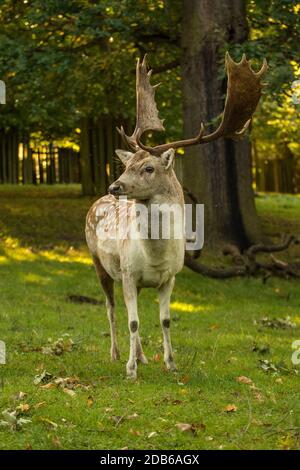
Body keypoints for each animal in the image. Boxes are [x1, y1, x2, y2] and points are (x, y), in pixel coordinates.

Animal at [85, 53, 266, 380]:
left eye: (148, 168)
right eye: (127, 165)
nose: (114, 185)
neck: (155, 255)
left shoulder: (169, 276)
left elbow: (165, 320)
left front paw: (170, 363)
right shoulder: (128, 272)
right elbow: (133, 321)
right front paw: (130, 370)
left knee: (129, 310)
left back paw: (142, 356)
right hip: (98, 262)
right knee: (111, 307)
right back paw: (116, 354)